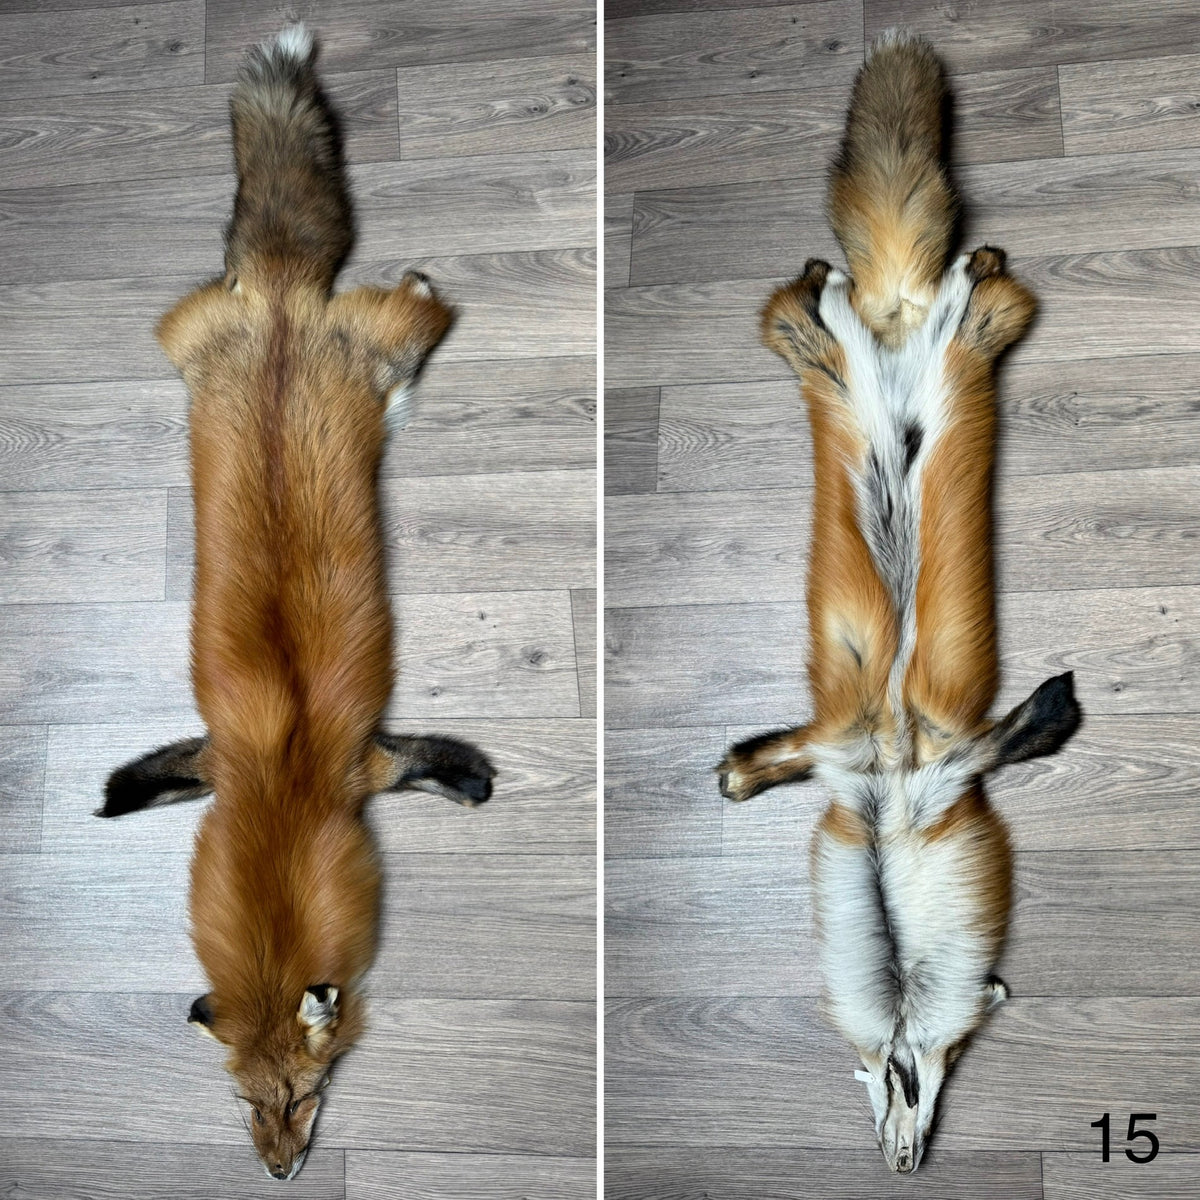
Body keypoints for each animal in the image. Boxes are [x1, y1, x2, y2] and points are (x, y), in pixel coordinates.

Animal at [96, 26, 495, 1180]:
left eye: (307, 1098)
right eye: (245, 1102)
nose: (278, 1174)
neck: (276, 797)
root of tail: (279, 303)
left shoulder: (363, 766)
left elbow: (437, 766)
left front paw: (476, 782)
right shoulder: (217, 758)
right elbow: (149, 779)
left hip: (392, 341)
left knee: (418, 302)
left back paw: (412, 286)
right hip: (188, 336)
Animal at [716, 30, 1081, 1173]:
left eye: (942, 1074)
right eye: (911, 1080)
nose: (904, 1162)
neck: (887, 802)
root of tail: (900, 314)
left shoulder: (942, 762)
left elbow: (1021, 732)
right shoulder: (855, 749)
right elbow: (770, 758)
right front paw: (735, 775)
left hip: (952, 357)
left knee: (952, 297)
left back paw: (944, 269)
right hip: (843, 364)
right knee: (830, 300)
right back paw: (873, 271)